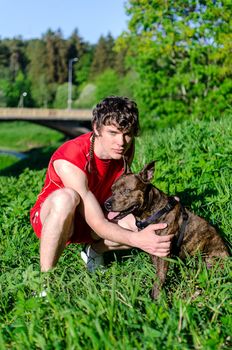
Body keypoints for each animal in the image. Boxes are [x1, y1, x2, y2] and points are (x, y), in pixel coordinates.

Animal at [105, 160, 230, 300]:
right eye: (112, 190)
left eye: (127, 190)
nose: (106, 204)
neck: (153, 211)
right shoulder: (155, 249)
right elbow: (158, 273)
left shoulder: (163, 252)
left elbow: (159, 277)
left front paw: (156, 298)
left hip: (209, 259)